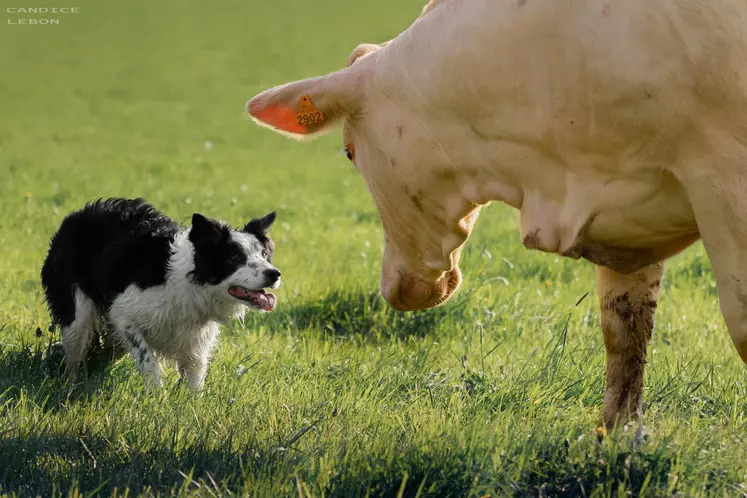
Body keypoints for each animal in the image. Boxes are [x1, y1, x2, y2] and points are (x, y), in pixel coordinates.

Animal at [41, 197, 280, 390]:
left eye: (264, 254)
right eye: (233, 257)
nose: (274, 274)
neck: (188, 284)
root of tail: (77, 215)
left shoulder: (196, 340)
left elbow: (195, 378)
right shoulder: (123, 314)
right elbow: (148, 359)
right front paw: (156, 395)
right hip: (77, 317)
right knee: (73, 356)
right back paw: (71, 386)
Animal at [248, 0, 747, 430]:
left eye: (350, 152)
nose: (394, 289)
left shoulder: (723, 178)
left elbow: (738, 319)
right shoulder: (626, 216)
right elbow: (624, 336)